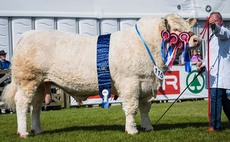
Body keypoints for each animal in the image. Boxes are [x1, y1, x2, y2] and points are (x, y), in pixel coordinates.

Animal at [1, 13, 199, 138]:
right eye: (175, 29)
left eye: (187, 26)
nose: (196, 39)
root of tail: (26, 35)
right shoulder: (130, 82)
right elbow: (131, 108)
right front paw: (132, 130)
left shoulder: (147, 84)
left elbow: (144, 108)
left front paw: (148, 127)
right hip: (27, 80)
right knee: (22, 104)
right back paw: (24, 132)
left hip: (41, 83)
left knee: (35, 107)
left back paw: (38, 130)